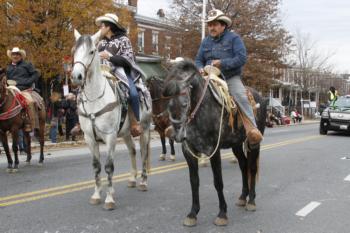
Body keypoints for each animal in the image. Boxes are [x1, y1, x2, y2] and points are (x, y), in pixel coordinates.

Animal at [71, 29, 152, 211]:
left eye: (92, 51)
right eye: (74, 51)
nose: (76, 76)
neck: (95, 99)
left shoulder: (110, 137)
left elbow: (109, 166)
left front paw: (109, 199)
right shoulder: (90, 138)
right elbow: (96, 166)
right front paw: (96, 195)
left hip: (144, 129)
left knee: (143, 152)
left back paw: (143, 182)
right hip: (126, 133)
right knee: (132, 151)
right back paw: (132, 179)